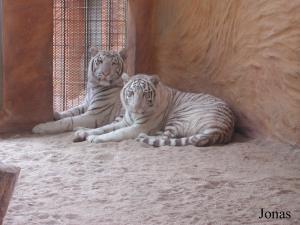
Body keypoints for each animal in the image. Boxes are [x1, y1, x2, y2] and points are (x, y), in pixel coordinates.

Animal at [74, 73, 236, 147]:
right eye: (131, 93)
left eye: (145, 94)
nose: (135, 109)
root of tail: (223, 128)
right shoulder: (125, 122)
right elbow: (105, 127)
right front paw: (84, 133)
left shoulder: (138, 127)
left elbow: (115, 133)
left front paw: (95, 138)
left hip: (180, 114)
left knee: (166, 137)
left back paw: (146, 136)